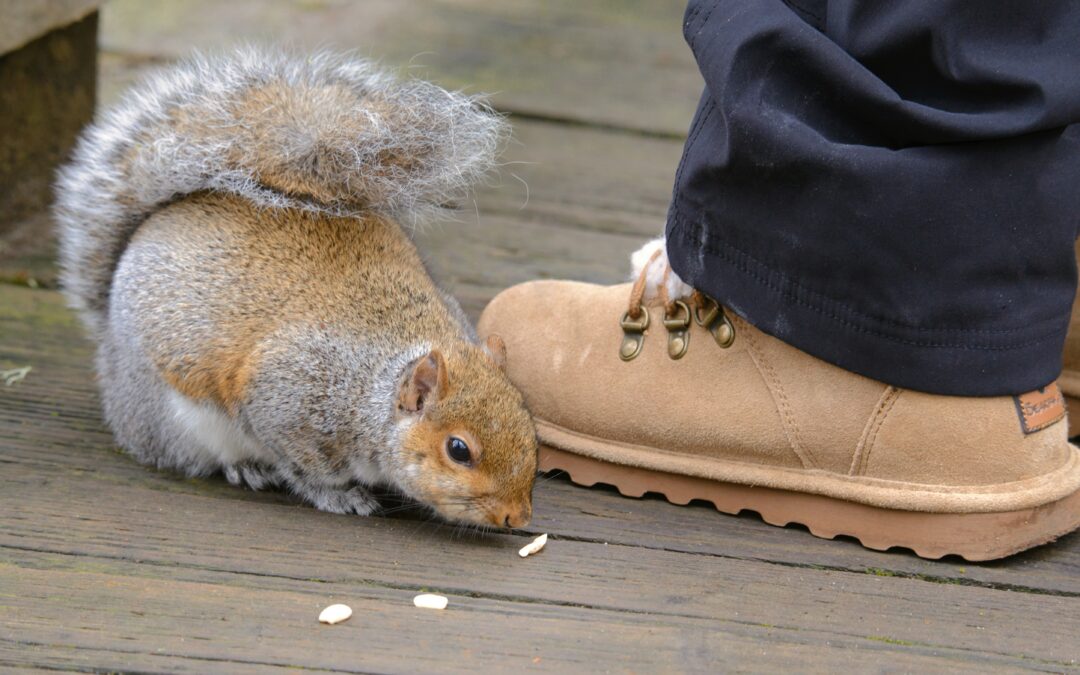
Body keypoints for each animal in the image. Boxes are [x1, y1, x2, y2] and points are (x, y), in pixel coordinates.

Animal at [53, 48, 537, 528]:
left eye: (529, 422)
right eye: (458, 450)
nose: (517, 517)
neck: (371, 386)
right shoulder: (287, 401)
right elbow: (300, 465)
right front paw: (337, 495)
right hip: (174, 419)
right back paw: (243, 466)